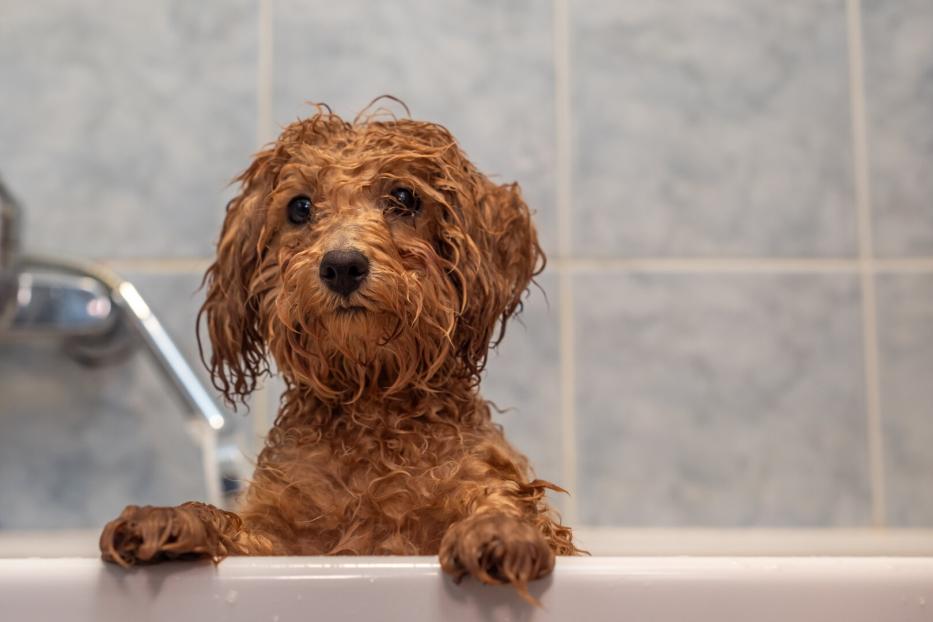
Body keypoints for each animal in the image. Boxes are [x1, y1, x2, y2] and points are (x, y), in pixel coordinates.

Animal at [98, 102, 580, 600]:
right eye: (300, 207)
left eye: (404, 198)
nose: (343, 265)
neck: (371, 402)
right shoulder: (278, 541)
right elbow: (229, 526)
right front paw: (169, 520)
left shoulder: (483, 484)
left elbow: (507, 504)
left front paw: (501, 532)